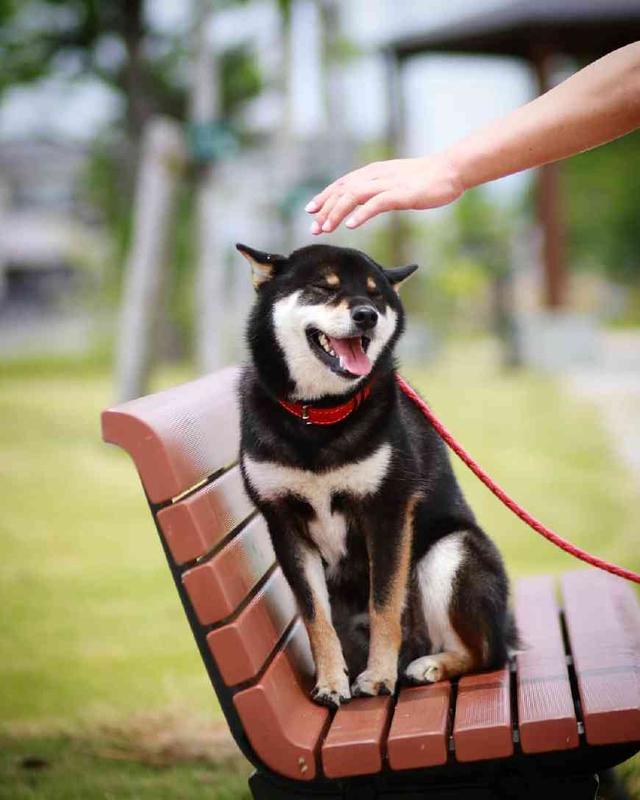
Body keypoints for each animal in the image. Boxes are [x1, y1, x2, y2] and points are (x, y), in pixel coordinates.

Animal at [238, 242, 516, 708]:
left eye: (375, 294)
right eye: (323, 287)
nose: (365, 315)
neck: (319, 417)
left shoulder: (386, 512)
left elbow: (385, 606)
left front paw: (380, 677)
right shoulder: (284, 522)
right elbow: (315, 618)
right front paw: (331, 682)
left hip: (448, 553)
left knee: (486, 654)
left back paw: (430, 664)